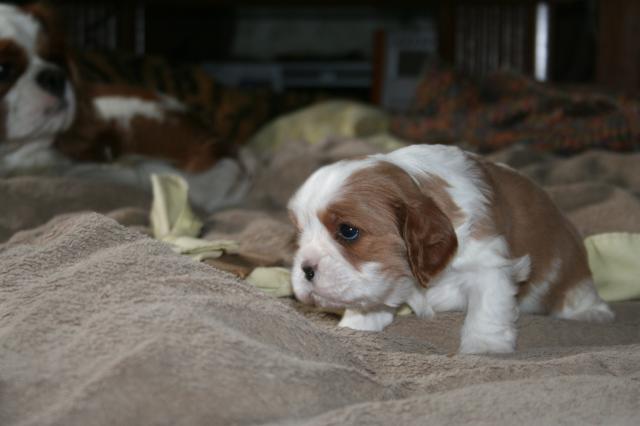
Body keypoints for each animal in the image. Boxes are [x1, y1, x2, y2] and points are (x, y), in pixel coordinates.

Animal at [288, 145, 612, 354]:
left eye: (348, 231)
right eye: (300, 234)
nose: (305, 269)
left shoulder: (491, 265)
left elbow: (488, 306)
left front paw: (485, 346)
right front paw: (357, 325)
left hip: (570, 270)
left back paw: (591, 314)